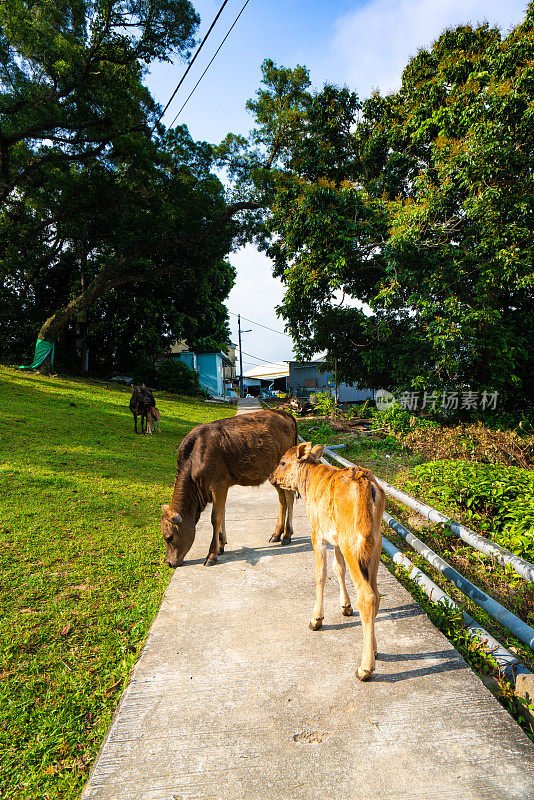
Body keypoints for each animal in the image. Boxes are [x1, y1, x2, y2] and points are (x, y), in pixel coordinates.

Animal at [161, 412, 300, 568]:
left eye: (169, 537)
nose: (169, 563)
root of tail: (284, 413)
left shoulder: (219, 484)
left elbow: (215, 517)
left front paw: (211, 554)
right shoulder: (220, 487)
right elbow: (222, 513)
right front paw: (221, 545)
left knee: (289, 497)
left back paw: (287, 535)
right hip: (274, 474)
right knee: (282, 499)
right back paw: (276, 534)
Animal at [272, 444, 386, 680]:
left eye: (282, 462)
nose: (271, 477)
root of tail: (365, 482)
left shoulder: (317, 533)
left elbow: (321, 573)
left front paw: (316, 619)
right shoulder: (335, 540)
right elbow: (338, 568)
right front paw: (345, 606)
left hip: (352, 542)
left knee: (367, 595)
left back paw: (365, 668)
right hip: (375, 543)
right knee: (377, 593)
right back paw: (374, 650)